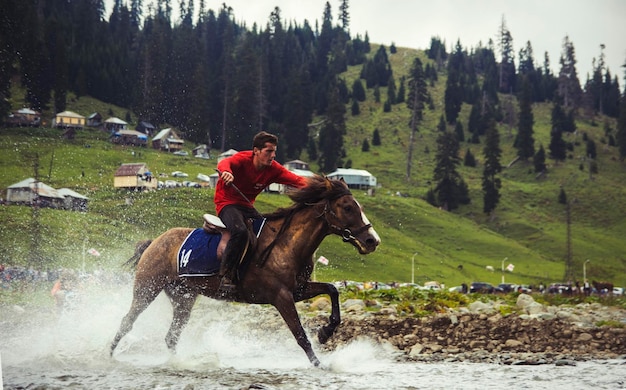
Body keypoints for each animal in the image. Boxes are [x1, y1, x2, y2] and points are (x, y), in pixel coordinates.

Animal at [109, 177, 378, 366]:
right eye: (347, 207)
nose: (372, 240)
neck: (286, 245)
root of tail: (154, 242)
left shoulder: (298, 290)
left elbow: (332, 290)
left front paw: (325, 332)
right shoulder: (281, 297)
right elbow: (300, 335)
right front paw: (319, 364)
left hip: (183, 297)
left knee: (171, 336)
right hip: (147, 289)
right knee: (127, 321)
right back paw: (109, 355)